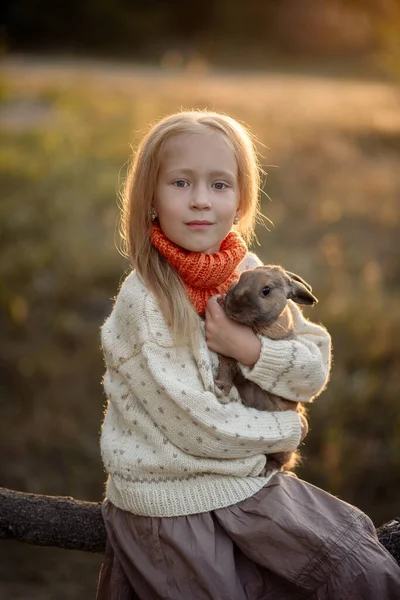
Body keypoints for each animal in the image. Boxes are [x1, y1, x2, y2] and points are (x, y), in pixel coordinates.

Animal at [216, 264, 318, 476]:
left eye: (266, 290)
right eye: (241, 277)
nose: (233, 307)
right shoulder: (229, 361)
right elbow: (226, 368)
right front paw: (221, 386)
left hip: (289, 444)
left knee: (281, 460)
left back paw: (268, 469)